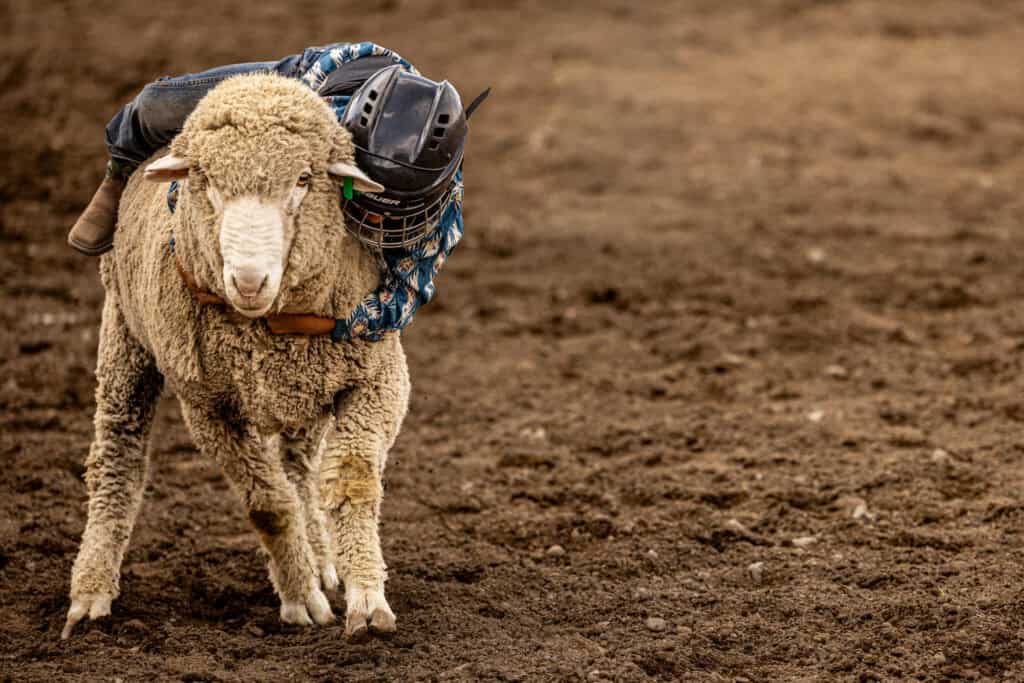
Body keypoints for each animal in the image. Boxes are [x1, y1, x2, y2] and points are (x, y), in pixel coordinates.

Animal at [62, 73, 411, 640]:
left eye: (304, 179)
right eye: (205, 179)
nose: (249, 281)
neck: (267, 327)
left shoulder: (377, 379)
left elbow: (353, 481)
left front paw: (365, 597)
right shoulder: (210, 409)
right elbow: (267, 504)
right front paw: (301, 599)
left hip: (302, 391)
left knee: (299, 467)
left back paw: (321, 557)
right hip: (125, 335)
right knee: (117, 454)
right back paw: (91, 589)